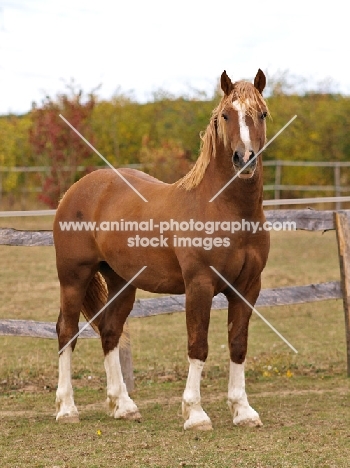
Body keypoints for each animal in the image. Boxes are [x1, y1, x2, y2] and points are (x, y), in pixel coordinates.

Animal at [53, 67, 270, 430]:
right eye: (226, 115)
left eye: (262, 114)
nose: (244, 159)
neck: (225, 208)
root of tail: (75, 190)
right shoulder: (199, 285)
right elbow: (198, 346)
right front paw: (195, 414)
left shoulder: (247, 287)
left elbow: (238, 345)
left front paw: (243, 411)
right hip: (73, 278)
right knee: (66, 332)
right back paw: (67, 409)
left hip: (122, 283)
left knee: (109, 332)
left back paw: (123, 405)